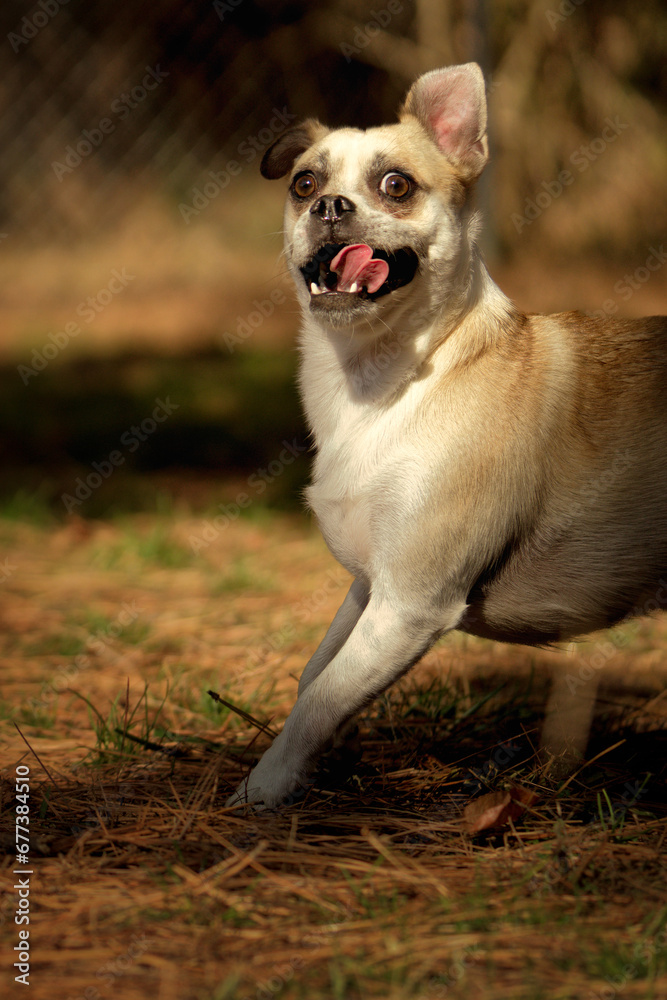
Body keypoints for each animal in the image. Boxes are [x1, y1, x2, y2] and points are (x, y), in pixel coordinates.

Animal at [227, 62, 664, 808]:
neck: (382, 387)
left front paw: (262, 790)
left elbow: (319, 699)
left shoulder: (408, 606)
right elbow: (317, 677)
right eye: (303, 184)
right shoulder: (368, 591)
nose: (329, 207)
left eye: (396, 185)